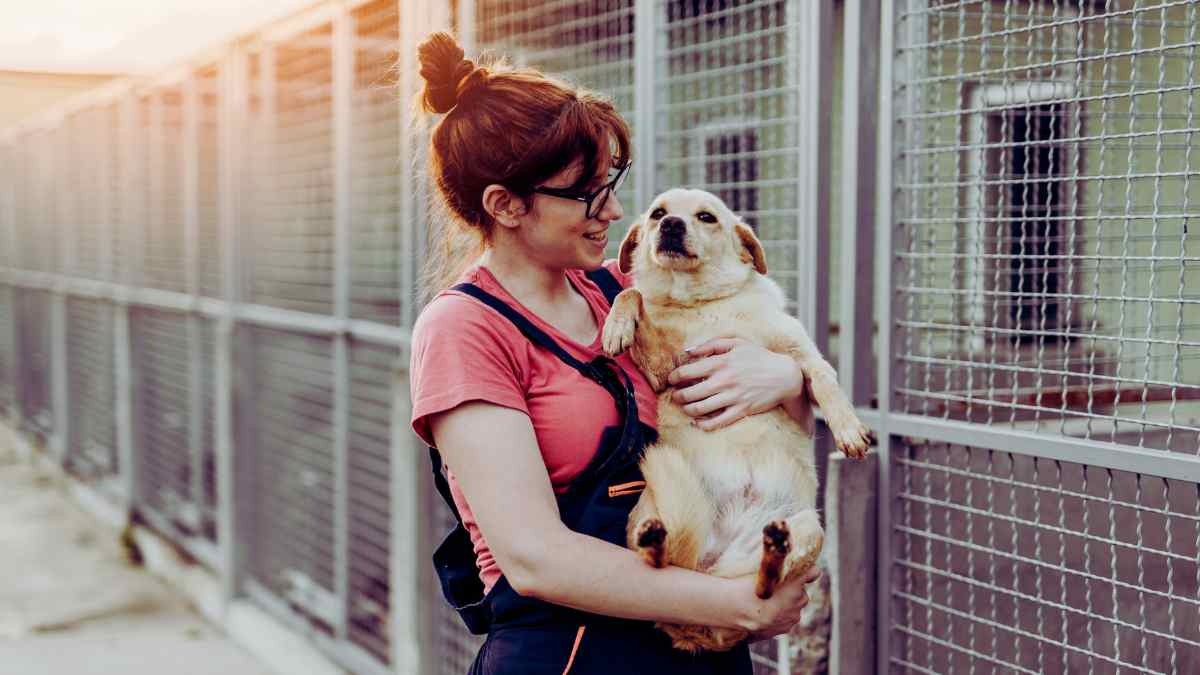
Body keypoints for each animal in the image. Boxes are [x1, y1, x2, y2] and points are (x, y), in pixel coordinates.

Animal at [600, 186, 873, 648]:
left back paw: (773, 553)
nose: (671, 225)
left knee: (762, 588)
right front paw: (616, 325)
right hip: (648, 511)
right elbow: (632, 295)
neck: (703, 303)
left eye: (706, 217)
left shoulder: (798, 353)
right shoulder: (663, 369)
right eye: (657, 214)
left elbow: (824, 377)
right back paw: (657, 543)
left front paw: (848, 429)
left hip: (811, 528)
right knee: (660, 566)